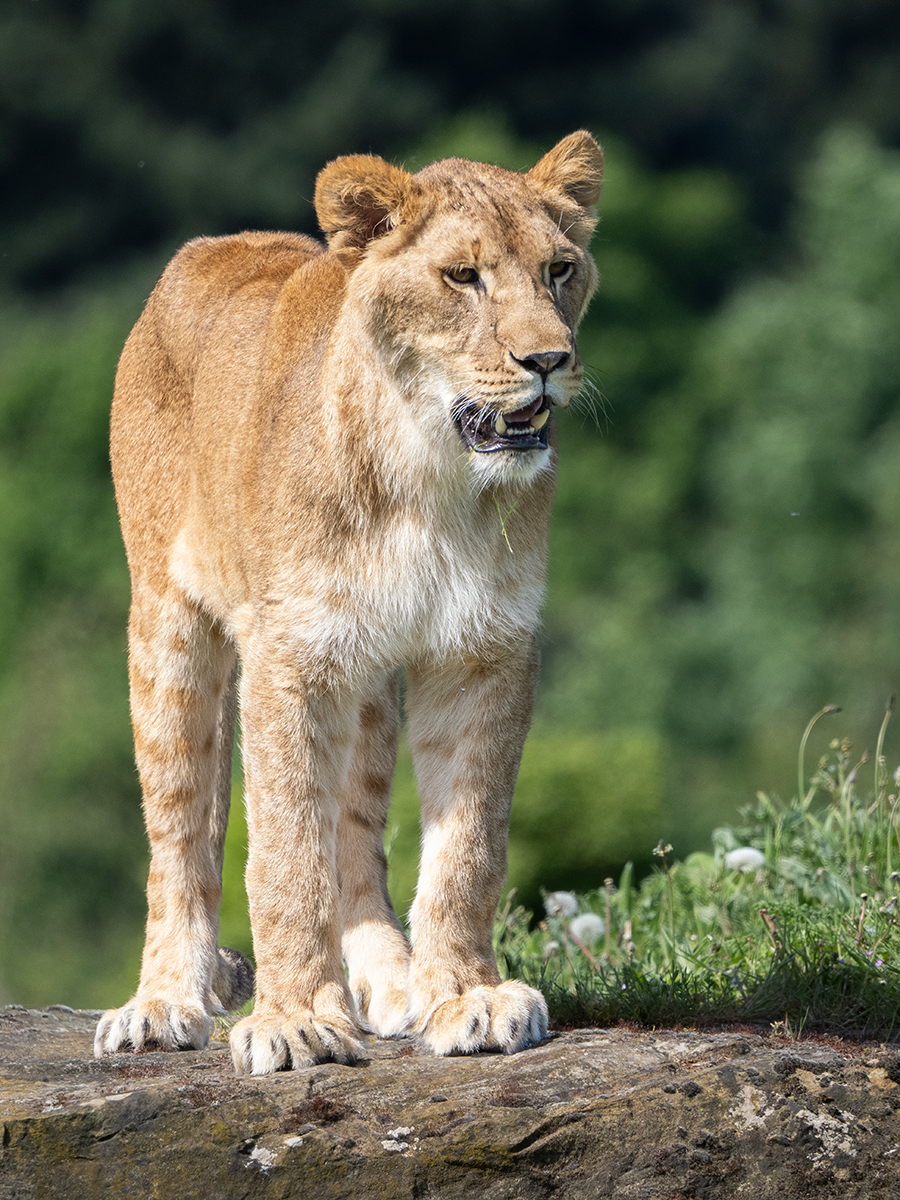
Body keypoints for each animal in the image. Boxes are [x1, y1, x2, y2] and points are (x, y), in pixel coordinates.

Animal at [94, 131, 603, 1075]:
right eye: (463, 277)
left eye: (559, 269)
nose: (548, 362)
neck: (429, 478)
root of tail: (208, 248)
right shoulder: (287, 656)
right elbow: (287, 852)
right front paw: (296, 1021)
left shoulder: (484, 648)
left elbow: (466, 846)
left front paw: (466, 997)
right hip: (169, 626)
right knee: (178, 832)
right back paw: (159, 1003)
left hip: (364, 675)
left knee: (357, 834)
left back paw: (389, 981)